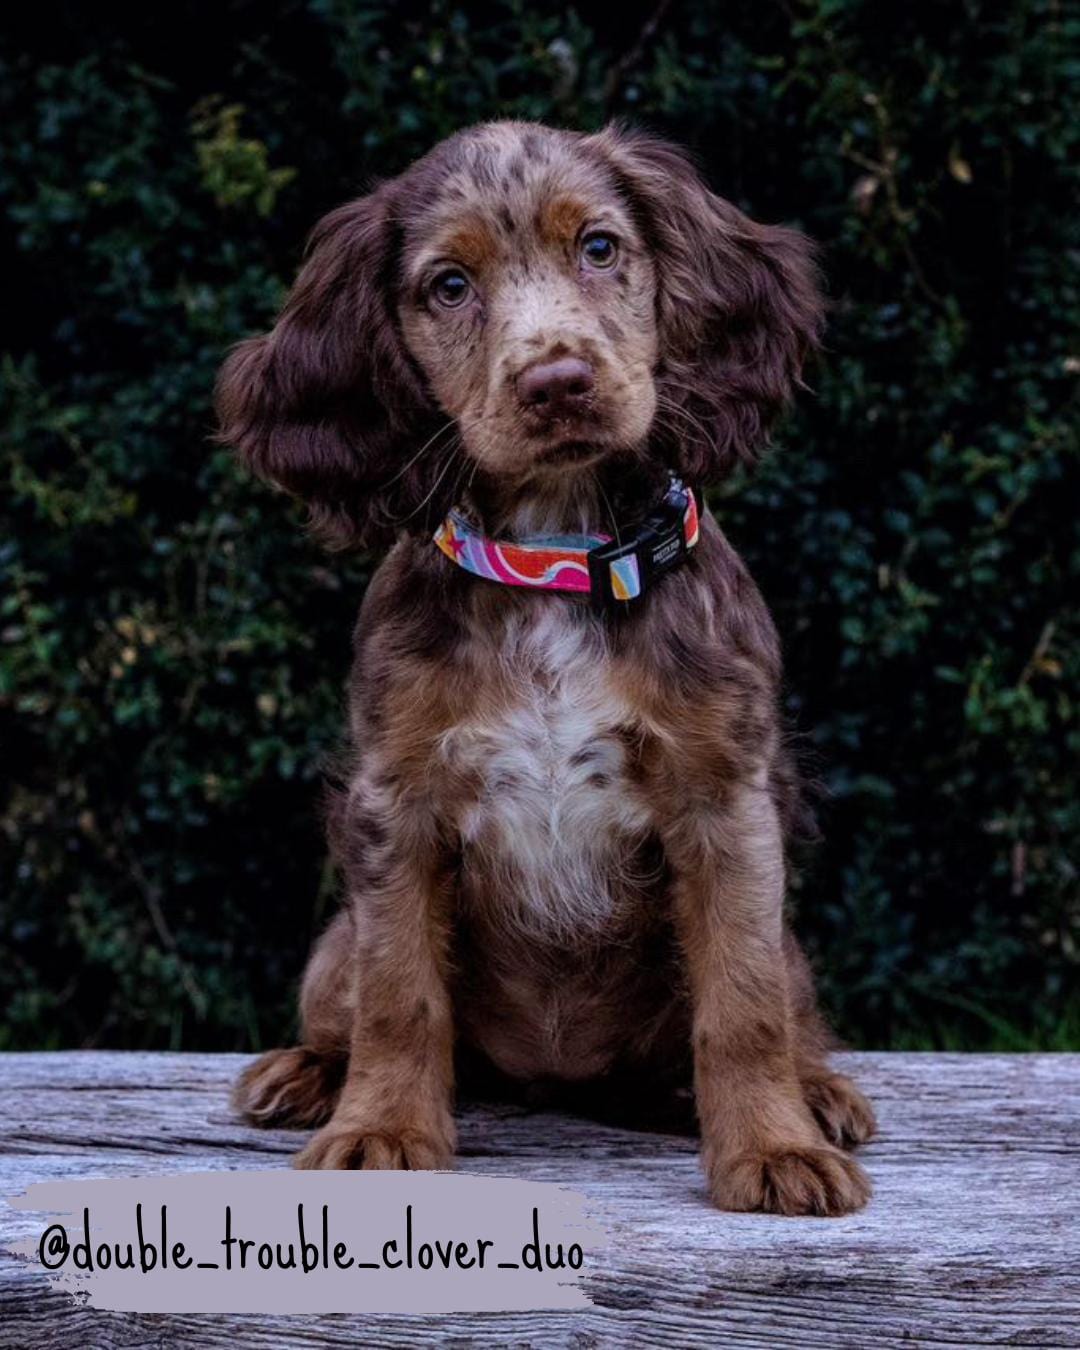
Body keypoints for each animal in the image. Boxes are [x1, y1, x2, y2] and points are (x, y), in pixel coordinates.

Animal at [217, 118, 874, 1215]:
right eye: (448, 285)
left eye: (600, 247)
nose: (557, 381)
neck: (555, 557)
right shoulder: (396, 804)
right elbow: (399, 993)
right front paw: (380, 1130)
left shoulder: (725, 801)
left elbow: (743, 1002)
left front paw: (773, 1147)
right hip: (333, 942)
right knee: (345, 1003)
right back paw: (306, 1074)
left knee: (786, 1006)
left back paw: (818, 1093)